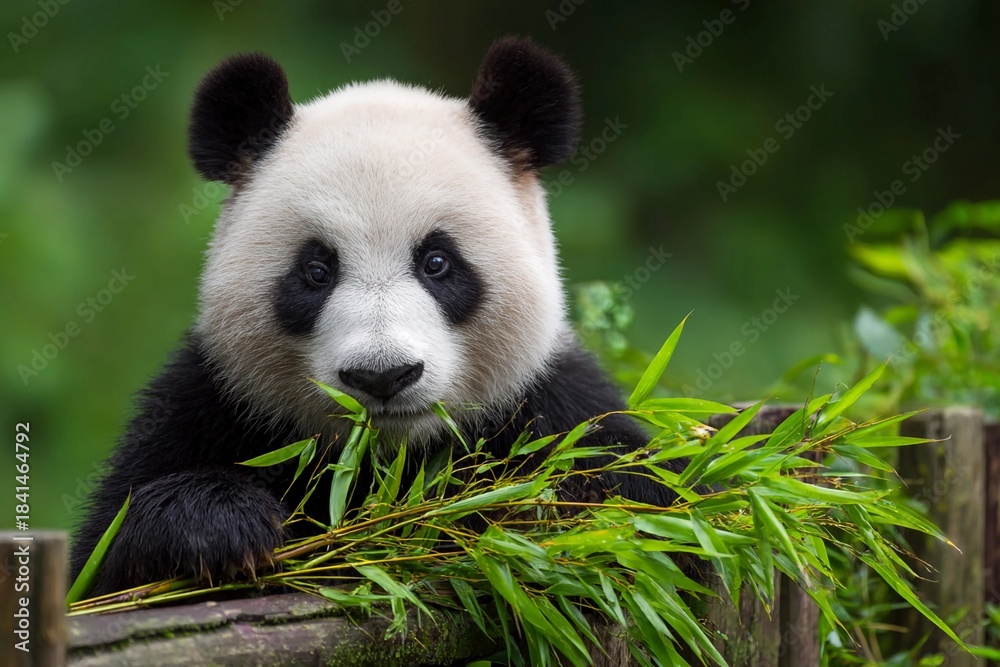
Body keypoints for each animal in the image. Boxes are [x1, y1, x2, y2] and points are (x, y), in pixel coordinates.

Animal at [71, 37, 677, 596]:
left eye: (437, 262)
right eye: (317, 270)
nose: (383, 376)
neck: (388, 461)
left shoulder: (554, 404)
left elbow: (640, 511)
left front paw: (558, 503)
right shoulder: (215, 403)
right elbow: (103, 559)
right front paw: (218, 524)